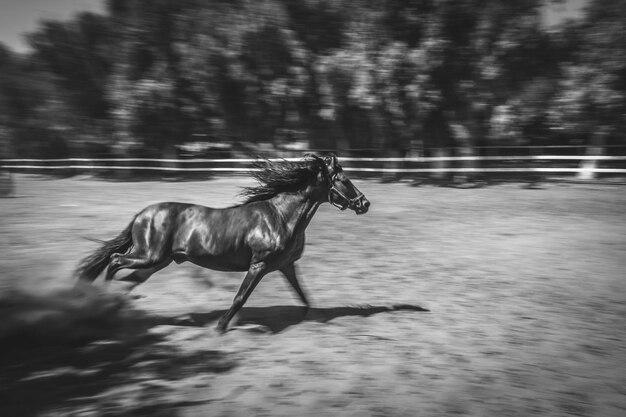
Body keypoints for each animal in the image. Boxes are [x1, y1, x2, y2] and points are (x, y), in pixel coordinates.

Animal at [78, 153, 370, 332]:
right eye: (344, 180)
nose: (365, 203)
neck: (281, 217)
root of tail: (142, 214)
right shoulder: (259, 265)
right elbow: (240, 297)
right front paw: (221, 326)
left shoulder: (286, 266)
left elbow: (303, 296)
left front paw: (316, 318)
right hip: (149, 255)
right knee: (115, 261)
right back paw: (103, 303)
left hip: (157, 262)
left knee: (128, 278)